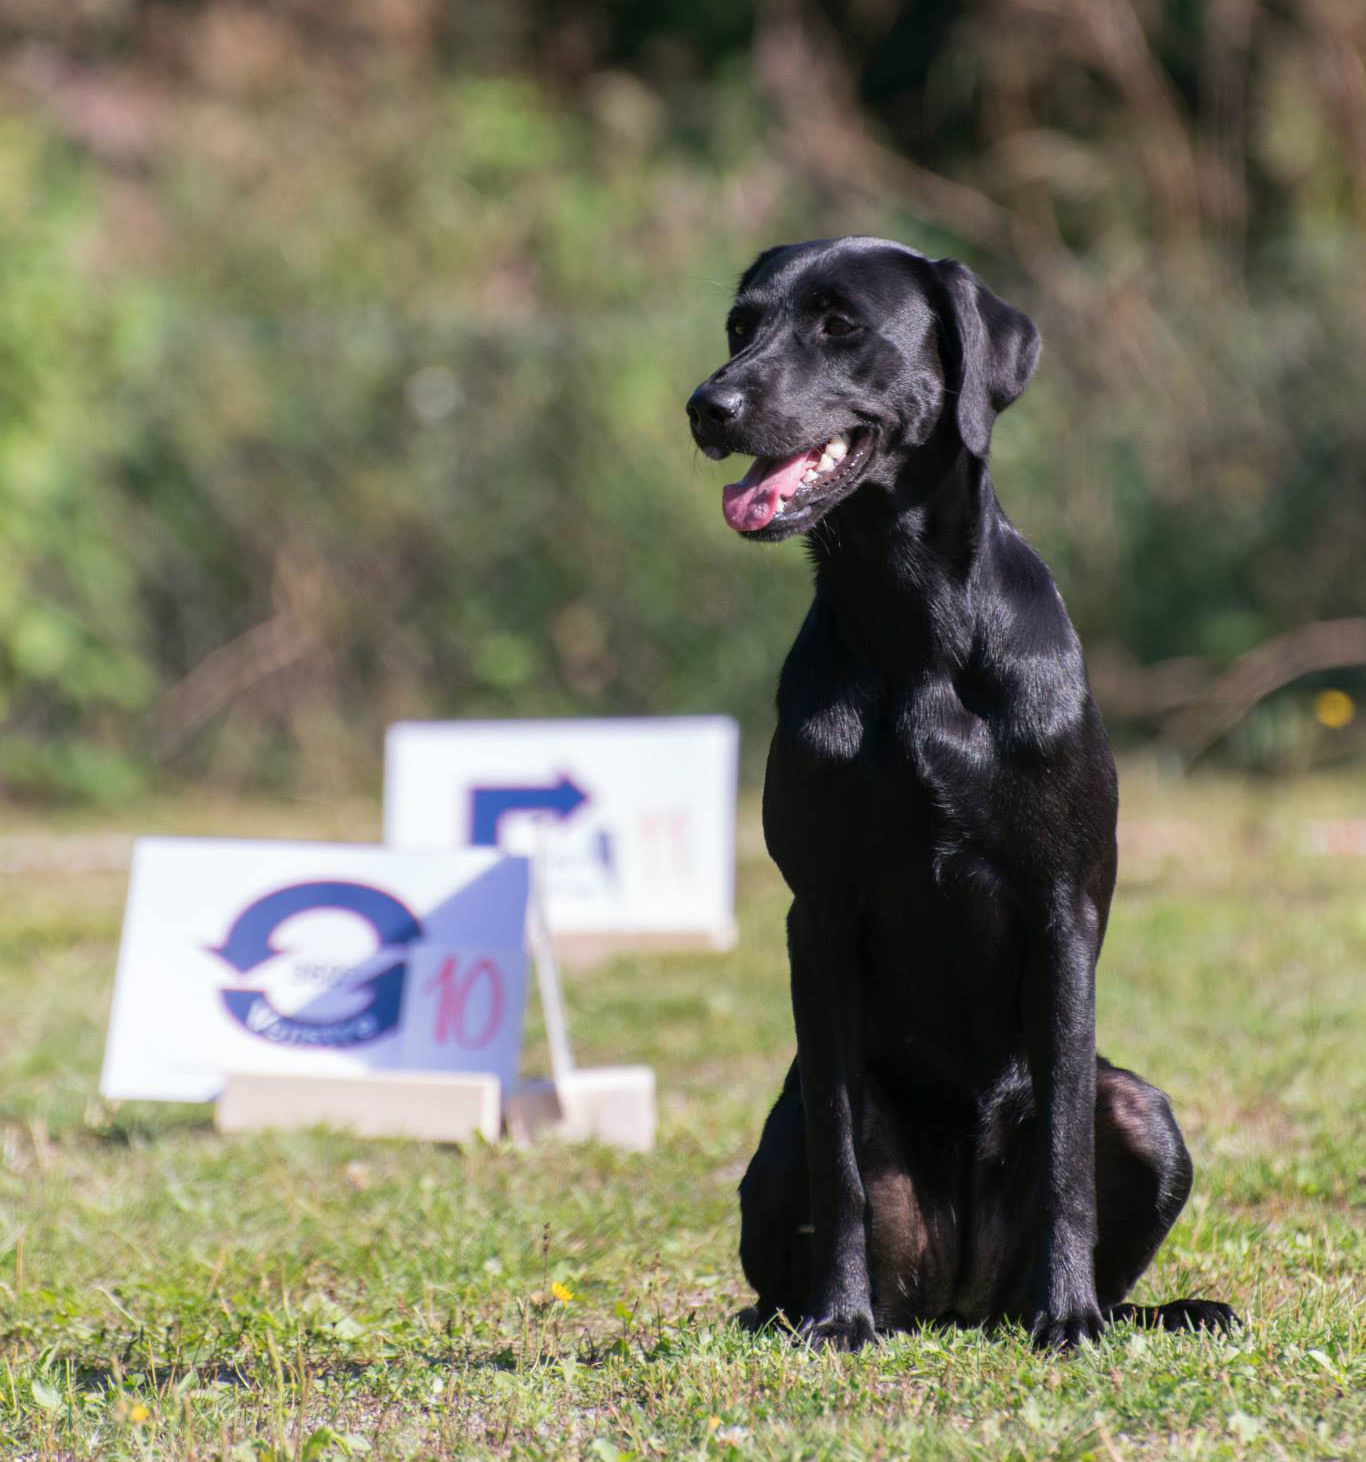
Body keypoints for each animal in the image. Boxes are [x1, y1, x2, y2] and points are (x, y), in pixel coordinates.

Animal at [690, 236, 1234, 1345]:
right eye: (740, 326)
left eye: (839, 325)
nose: (706, 406)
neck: (915, 623)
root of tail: (964, 1300)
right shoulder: (818, 913)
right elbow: (843, 1166)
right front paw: (840, 1318)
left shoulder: (1061, 904)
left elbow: (1066, 1142)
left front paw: (1068, 1316)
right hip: (790, 1126)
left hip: (1146, 1113)